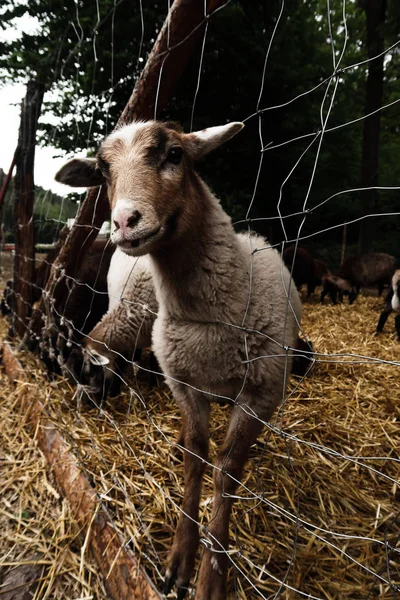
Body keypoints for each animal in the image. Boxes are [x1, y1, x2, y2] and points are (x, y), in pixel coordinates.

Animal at [55, 122, 300, 600]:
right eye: (103, 171)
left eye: (174, 154)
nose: (124, 221)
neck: (213, 315)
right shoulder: (184, 385)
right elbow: (195, 460)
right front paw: (180, 562)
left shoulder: (260, 395)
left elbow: (226, 471)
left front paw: (212, 575)